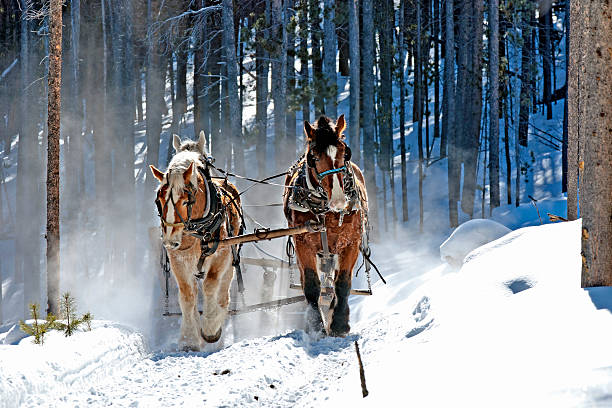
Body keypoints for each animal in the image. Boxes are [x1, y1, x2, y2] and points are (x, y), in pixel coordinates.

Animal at [149, 131, 243, 350]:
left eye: (186, 201)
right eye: (159, 200)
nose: (170, 241)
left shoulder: (221, 256)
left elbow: (210, 285)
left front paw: (210, 328)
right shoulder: (178, 260)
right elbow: (187, 295)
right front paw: (189, 339)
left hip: (231, 260)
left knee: (223, 292)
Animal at [284, 115, 368, 338]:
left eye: (344, 151)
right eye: (314, 156)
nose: (339, 200)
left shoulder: (351, 243)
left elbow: (343, 283)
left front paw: (338, 323)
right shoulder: (302, 242)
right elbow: (312, 285)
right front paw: (316, 325)